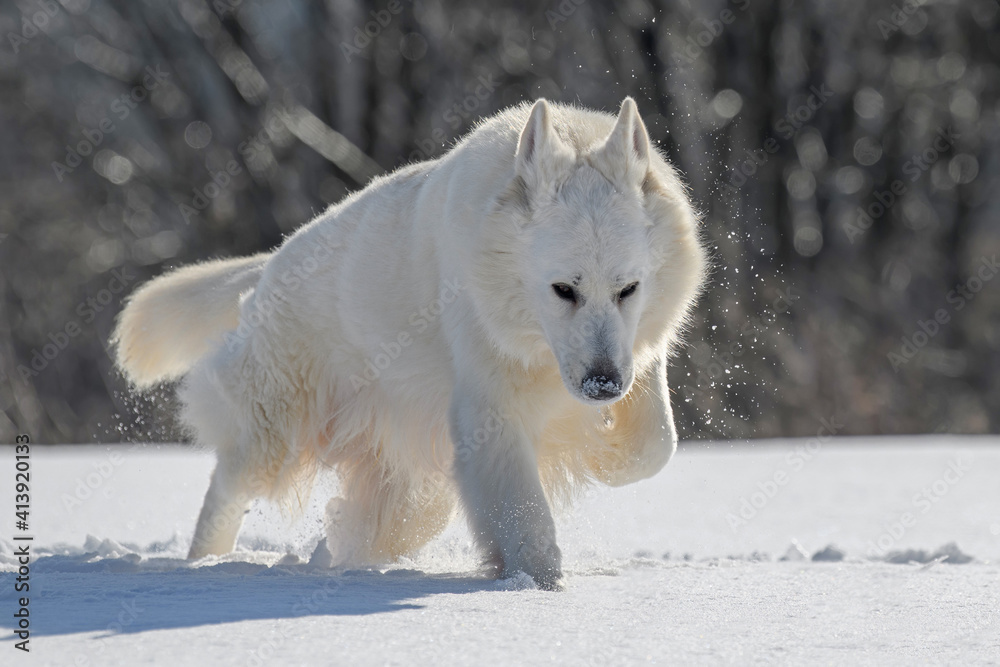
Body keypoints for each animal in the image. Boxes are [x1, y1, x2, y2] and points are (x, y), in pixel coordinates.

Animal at [115, 98, 704, 588]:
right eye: (564, 289)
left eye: (629, 289)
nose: (602, 386)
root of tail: (268, 267)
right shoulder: (488, 404)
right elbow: (522, 508)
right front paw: (535, 582)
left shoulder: (640, 362)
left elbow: (656, 444)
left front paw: (604, 454)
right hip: (277, 421)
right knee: (229, 483)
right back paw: (204, 563)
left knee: (391, 512)